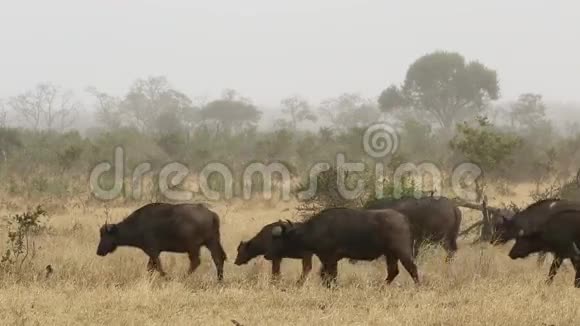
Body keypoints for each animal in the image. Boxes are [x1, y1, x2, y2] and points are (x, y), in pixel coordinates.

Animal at [96, 201, 225, 280]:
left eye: (105, 235)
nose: (98, 251)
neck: (138, 224)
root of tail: (212, 214)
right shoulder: (154, 253)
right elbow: (150, 267)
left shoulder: (152, 251)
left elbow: (157, 266)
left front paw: (167, 277)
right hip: (212, 242)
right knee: (218, 258)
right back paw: (219, 280)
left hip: (194, 247)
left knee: (196, 262)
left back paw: (183, 277)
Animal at [266, 208, 420, 286]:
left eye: (280, 239)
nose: (269, 255)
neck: (315, 229)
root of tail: (404, 219)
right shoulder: (327, 260)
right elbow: (324, 275)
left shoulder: (330, 258)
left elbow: (331, 276)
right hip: (390, 254)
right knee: (393, 271)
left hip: (402, 252)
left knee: (412, 269)